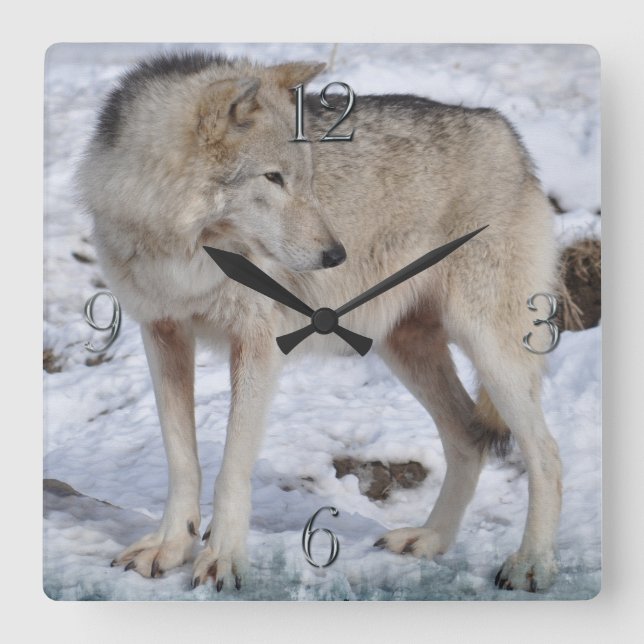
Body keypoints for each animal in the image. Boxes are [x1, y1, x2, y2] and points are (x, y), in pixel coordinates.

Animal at [76, 51, 561, 593]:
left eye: (305, 178)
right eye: (273, 178)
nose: (335, 256)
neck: (186, 249)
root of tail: (504, 131)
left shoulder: (258, 344)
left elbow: (231, 468)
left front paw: (223, 559)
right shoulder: (161, 333)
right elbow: (182, 461)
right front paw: (170, 548)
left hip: (490, 350)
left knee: (546, 454)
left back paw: (531, 564)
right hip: (404, 347)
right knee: (468, 437)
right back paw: (429, 540)